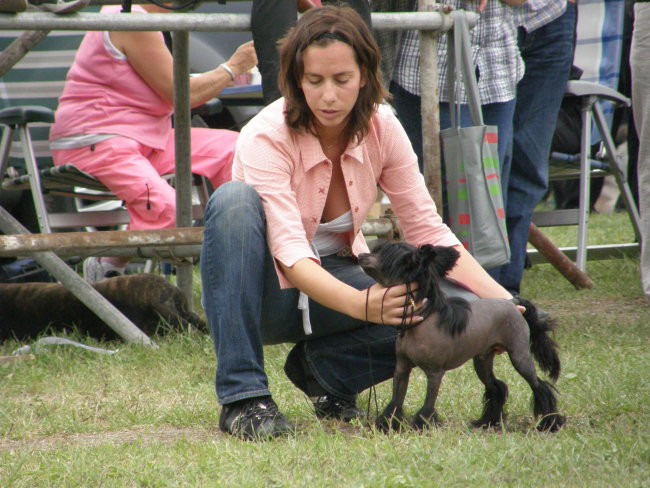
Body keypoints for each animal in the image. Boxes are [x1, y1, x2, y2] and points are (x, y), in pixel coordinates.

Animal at [356, 242, 564, 432]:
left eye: (384, 255)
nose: (360, 255)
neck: (423, 320)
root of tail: (512, 303)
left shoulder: (435, 373)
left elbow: (428, 404)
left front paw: (421, 425)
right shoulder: (402, 369)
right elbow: (396, 400)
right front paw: (387, 424)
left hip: (519, 356)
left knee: (539, 387)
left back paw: (549, 423)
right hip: (482, 361)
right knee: (495, 388)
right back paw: (488, 422)